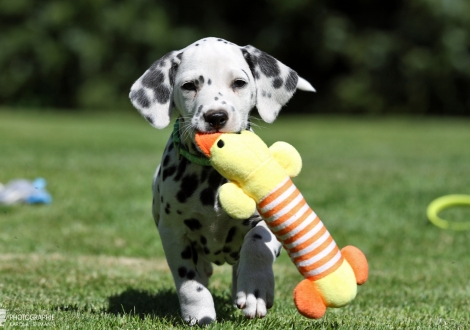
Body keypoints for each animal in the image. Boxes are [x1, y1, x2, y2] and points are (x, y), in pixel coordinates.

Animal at [129, 36, 314, 324]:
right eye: (189, 86)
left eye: (238, 83)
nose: (216, 116)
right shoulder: (173, 232)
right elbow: (189, 279)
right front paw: (199, 312)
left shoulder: (268, 220)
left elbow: (256, 244)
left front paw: (254, 292)